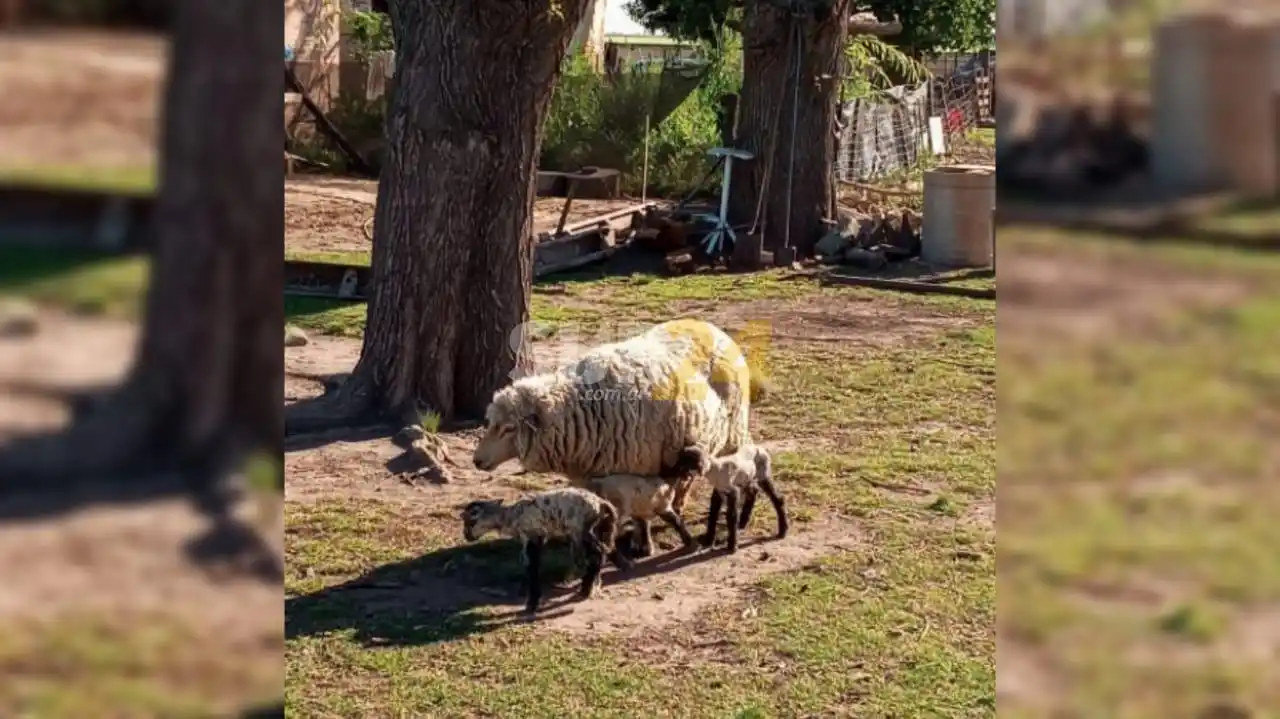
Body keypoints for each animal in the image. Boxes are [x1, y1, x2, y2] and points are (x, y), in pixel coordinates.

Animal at [460, 487, 633, 614]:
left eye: (470, 520)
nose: (467, 536)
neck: (510, 518)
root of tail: (600, 503)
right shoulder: (533, 538)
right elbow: (527, 563)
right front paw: (524, 591)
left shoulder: (534, 534)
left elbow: (532, 565)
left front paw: (532, 602)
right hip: (596, 528)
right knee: (602, 551)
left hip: (580, 528)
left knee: (597, 553)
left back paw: (586, 589)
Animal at [473, 319, 767, 514]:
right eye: (491, 423)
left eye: (509, 428)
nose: (477, 461)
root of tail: (713, 327)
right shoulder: (592, 475)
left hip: (729, 433)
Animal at [583, 440, 712, 557]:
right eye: (699, 459)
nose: (707, 468)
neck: (668, 479)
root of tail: (598, 483)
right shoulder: (663, 508)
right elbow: (677, 522)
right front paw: (692, 544)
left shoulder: (641, 512)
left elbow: (644, 528)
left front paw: (646, 549)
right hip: (618, 509)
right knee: (607, 528)